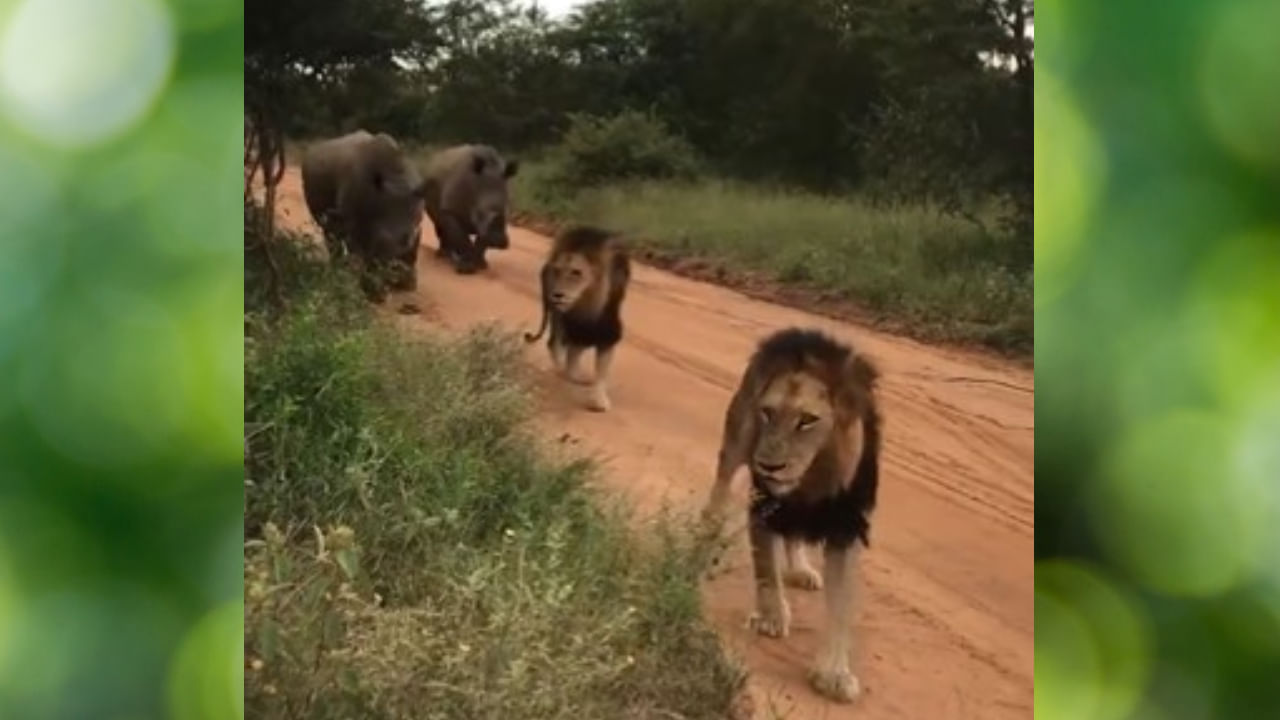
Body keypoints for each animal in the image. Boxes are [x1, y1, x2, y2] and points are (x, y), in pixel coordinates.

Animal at [302, 130, 427, 293]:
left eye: (409, 239)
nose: (394, 280)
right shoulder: (355, 219)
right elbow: (357, 245)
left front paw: (408, 285)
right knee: (330, 229)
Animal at [422, 144, 517, 272]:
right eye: (479, 213)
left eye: (507, 212)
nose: (498, 241)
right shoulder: (450, 211)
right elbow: (461, 238)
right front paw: (466, 266)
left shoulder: (484, 225)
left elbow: (481, 241)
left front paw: (481, 264)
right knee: (441, 225)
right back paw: (443, 255)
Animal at [524, 226, 629, 412]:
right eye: (557, 270)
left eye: (576, 272)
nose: (557, 295)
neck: (586, 304)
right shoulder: (573, 326)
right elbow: (570, 357)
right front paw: (569, 374)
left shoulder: (607, 333)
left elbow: (601, 369)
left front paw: (598, 400)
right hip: (557, 315)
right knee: (553, 342)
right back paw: (561, 370)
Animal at [701, 327, 880, 702]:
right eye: (768, 413)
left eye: (807, 421)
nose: (768, 465)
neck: (812, 479)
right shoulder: (762, 504)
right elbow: (766, 568)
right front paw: (771, 618)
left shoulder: (846, 525)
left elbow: (841, 606)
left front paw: (835, 674)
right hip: (736, 442)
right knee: (720, 489)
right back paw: (702, 545)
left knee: (795, 537)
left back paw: (801, 570)